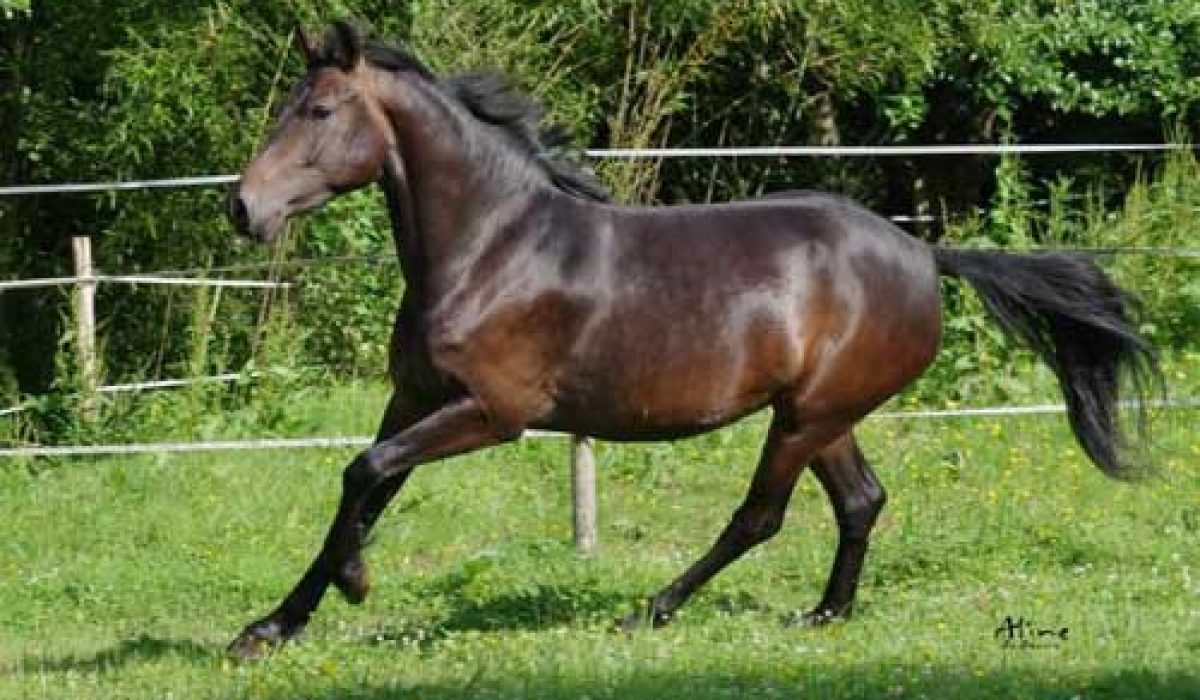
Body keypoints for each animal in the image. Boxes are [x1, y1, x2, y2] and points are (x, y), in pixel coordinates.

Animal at [227, 22, 1158, 657]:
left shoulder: (492, 413)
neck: (493, 249)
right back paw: (824, 614)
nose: (243, 207)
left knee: (760, 516)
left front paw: (354, 587)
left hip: (807, 416)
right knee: (861, 501)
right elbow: (363, 491)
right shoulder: (414, 397)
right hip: (823, 414)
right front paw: (268, 628)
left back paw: (650, 609)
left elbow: (363, 474)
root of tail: (924, 252)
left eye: (319, 109)